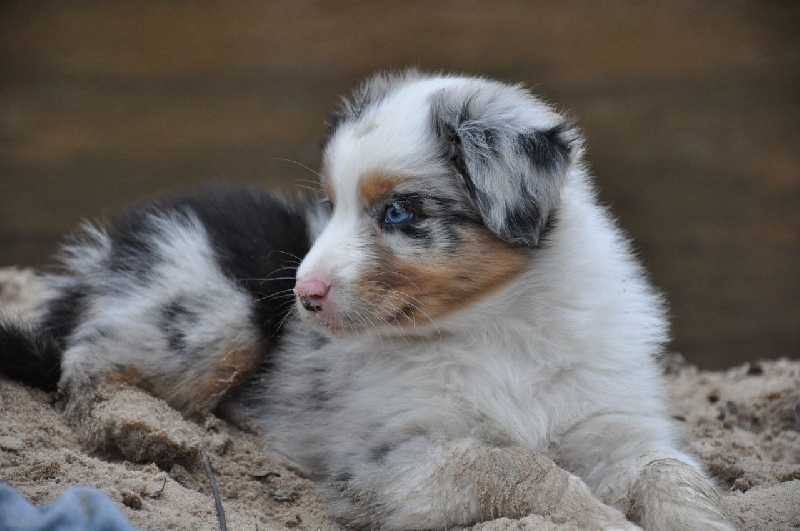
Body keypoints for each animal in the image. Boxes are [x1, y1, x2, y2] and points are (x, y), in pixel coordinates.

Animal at [0, 70, 732, 529]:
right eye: (332, 205)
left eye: (398, 213)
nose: (302, 294)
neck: (502, 323)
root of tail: (108, 251)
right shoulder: (390, 460)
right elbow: (509, 464)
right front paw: (601, 518)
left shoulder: (614, 423)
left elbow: (669, 471)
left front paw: (700, 520)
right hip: (212, 314)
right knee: (86, 363)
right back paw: (142, 424)